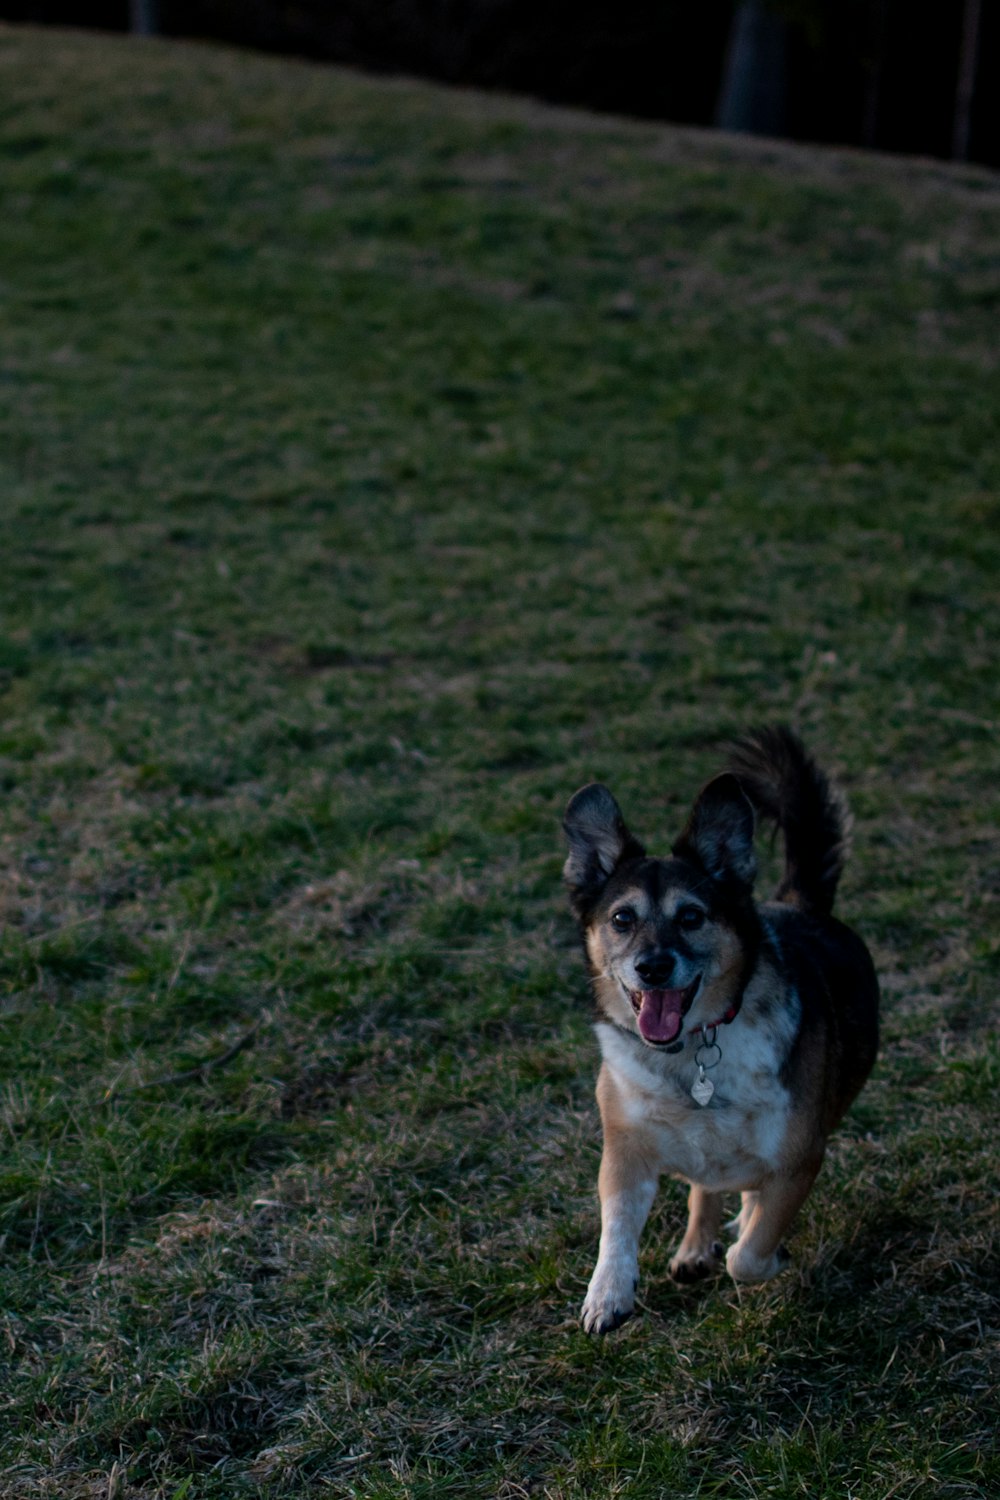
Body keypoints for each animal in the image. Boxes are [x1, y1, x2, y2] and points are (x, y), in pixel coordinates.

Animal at [566, 726, 881, 1338]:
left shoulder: (799, 1158)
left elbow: (751, 1253)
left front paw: (766, 1249)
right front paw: (607, 1294)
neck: (689, 1052)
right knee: (704, 1187)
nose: (653, 967)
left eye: (692, 916)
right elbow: (617, 1226)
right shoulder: (624, 1149)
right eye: (621, 919)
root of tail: (797, 902)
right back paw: (693, 1248)